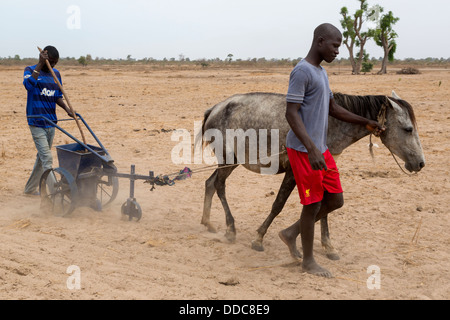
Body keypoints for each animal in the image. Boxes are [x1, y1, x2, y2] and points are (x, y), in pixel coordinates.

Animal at [197, 90, 426, 260]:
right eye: (408, 129)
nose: (421, 163)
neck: (330, 124)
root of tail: (214, 108)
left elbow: (325, 206)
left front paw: (328, 246)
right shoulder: (292, 171)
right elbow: (278, 204)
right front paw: (259, 238)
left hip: (231, 162)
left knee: (210, 183)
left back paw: (208, 222)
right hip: (228, 160)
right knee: (219, 186)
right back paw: (230, 229)